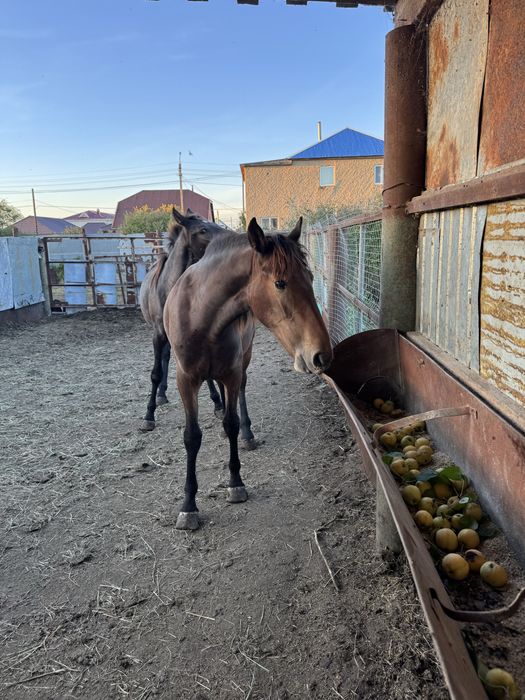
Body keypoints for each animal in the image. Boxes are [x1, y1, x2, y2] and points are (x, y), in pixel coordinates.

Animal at [163, 216, 333, 529]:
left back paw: (247, 433)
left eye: (311, 278)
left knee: (241, 392)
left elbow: (231, 423)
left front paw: (235, 483)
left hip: (244, 358)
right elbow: (192, 436)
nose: (322, 355)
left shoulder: (231, 372)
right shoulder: (185, 379)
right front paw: (188, 505)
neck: (201, 315)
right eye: (280, 283)